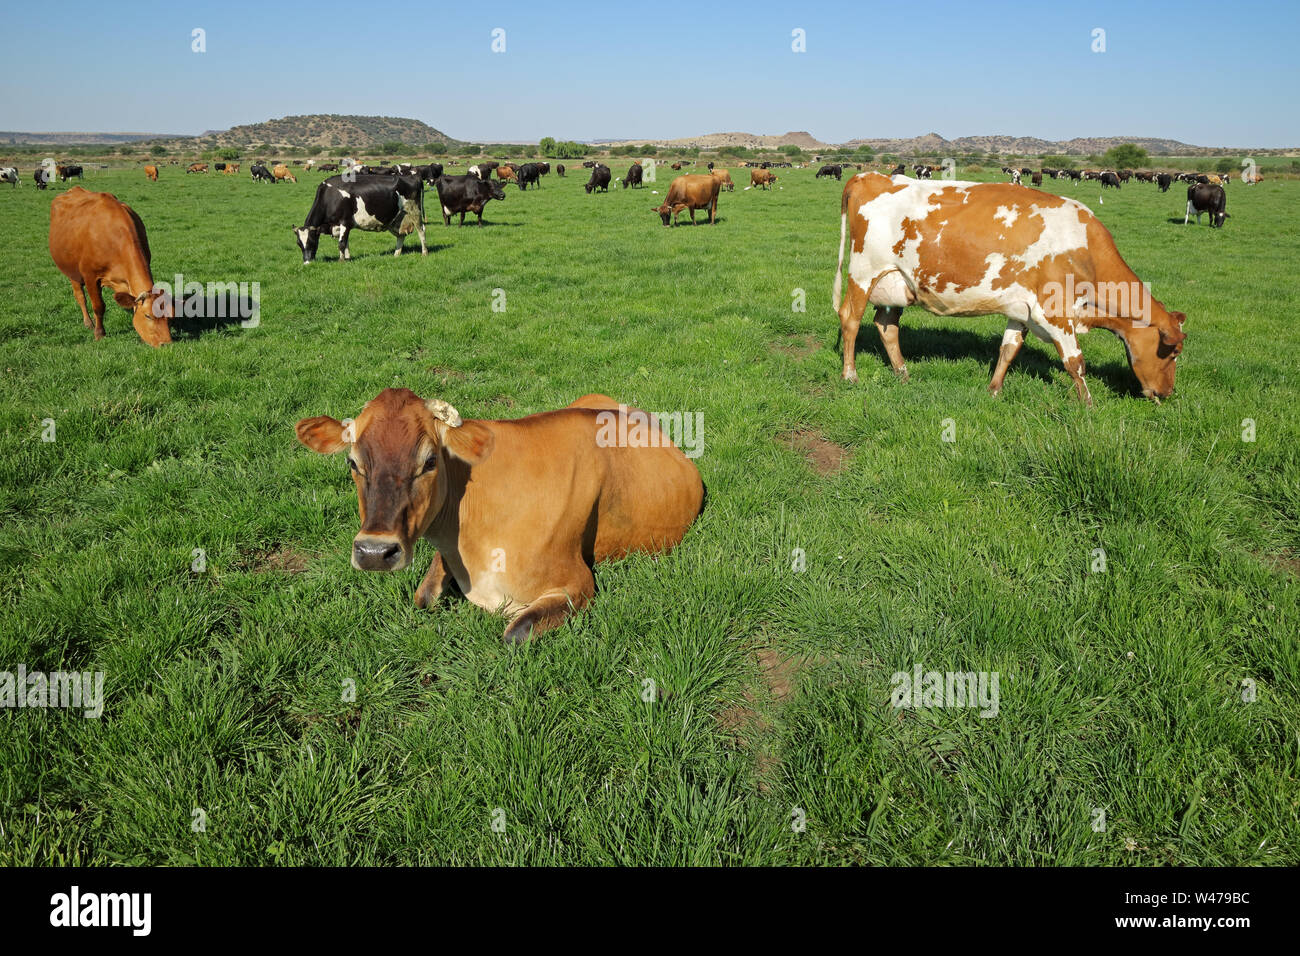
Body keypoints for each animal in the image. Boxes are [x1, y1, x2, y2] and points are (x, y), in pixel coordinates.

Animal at [48, 187, 173, 347]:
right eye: (148, 316)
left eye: (170, 316)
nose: (167, 344)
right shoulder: (90, 277)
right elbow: (99, 307)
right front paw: (99, 334)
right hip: (71, 271)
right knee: (80, 296)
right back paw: (88, 322)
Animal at [293, 173, 427, 262]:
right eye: (299, 244)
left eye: (311, 241)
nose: (307, 263)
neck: (330, 196)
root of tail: (413, 176)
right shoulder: (341, 226)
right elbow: (346, 243)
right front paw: (347, 258)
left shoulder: (345, 221)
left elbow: (341, 243)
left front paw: (341, 261)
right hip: (397, 218)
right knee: (401, 235)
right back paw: (396, 254)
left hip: (414, 212)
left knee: (421, 231)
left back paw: (424, 253)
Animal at [295, 388, 703, 643]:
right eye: (352, 462)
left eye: (429, 461)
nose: (375, 553)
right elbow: (423, 597)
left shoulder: (577, 582)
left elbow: (515, 632)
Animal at [832, 173, 1186, 404]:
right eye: (1174, 352)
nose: (1168, 393)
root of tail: (871, 175)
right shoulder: (1055, 312)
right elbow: (1075, 361)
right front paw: (1088, 405)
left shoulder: (1022, 309)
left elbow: (1008, 349)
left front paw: (993, 390)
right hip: (863, 273)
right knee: (850, 319)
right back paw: (850, 375)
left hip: (895, 284)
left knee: (886, 326)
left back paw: (903, 372)